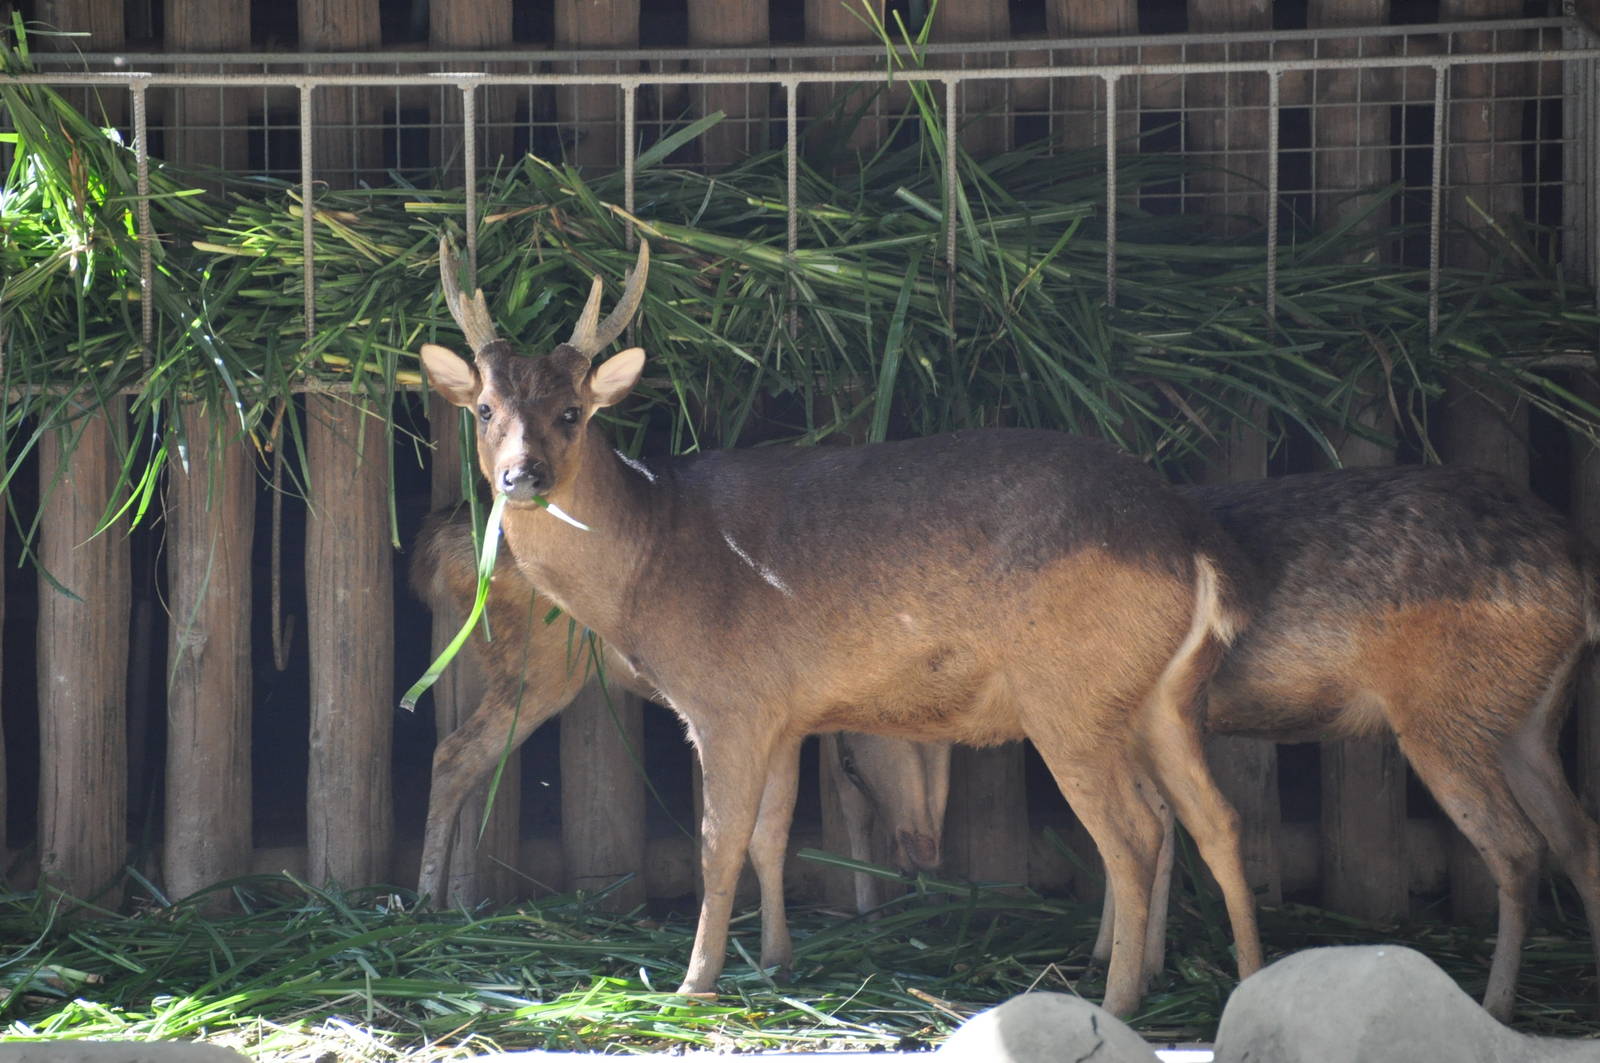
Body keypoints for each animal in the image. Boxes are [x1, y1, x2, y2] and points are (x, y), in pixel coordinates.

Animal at [409, 509, 951, 918]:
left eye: (948, 756)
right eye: (855, 764)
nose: (924, 853)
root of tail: (438, 549)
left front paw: (868, 911)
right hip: (540, 665)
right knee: (453, 755)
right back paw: (423, 902)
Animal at [843, 463, 1600, 1021]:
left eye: (846, 768)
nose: (916, 855)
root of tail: (1578, 573)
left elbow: (1142, 832)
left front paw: (1120, 965)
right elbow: (1162, 828)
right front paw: (1126, 958)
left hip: (1446, 719)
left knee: (1517, 848)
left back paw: (1494, 1004)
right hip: (1530, 723)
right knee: (1578, 838)